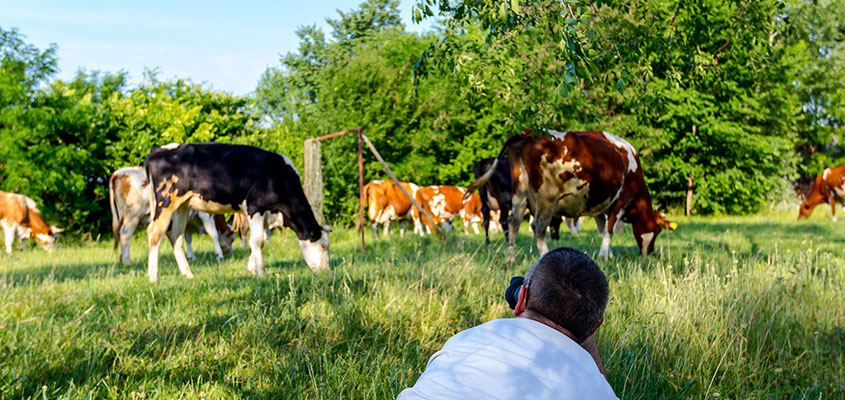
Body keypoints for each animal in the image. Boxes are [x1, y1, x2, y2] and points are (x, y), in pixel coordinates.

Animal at [145, 143, 330, 282]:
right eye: (323, 246)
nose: (325, 271)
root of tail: (158, 150)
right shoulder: (255, 206)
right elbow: (257, 241)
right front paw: (261, 273)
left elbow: (257, 241)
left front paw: (251, 269)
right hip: (166, 201)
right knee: (155, 233)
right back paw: (153, 277)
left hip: (182, 206)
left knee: (176, 236)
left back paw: (188, 274)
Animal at [464, 130, 676, 260]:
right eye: (656, 231)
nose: (650, 253)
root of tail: (526, 133)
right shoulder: (621, 200)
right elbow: (609, 229)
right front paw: (604, 255)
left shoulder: (598, 204)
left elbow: (602, 229)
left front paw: (608, 254)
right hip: (546, 199)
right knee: (538, 227)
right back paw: (543, 256)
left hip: (519, 194)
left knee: (513, 223)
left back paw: (510, 258)